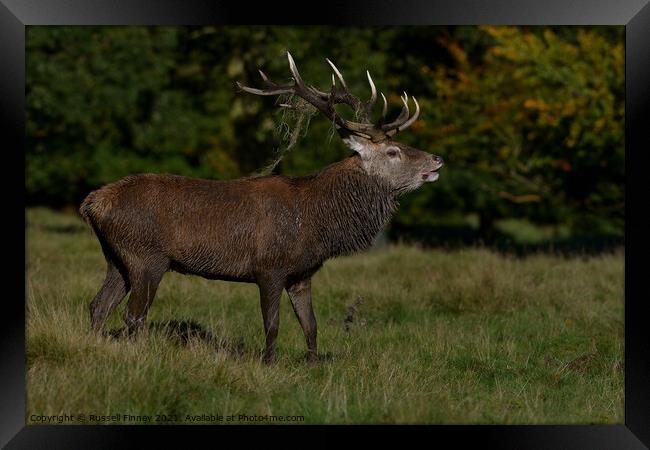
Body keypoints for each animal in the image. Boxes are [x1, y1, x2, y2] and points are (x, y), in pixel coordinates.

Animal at [79, 51, 440, 362]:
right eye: (393, 151)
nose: (436, 159)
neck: (316, 223)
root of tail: (91, 203)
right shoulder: (269, 267)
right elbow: (272, 325)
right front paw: (270, 364)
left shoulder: (301, 274)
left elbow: (311, 326)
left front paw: (313, 366)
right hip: (147, 257)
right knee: (133, 315)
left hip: (117, 258)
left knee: (99, 305)